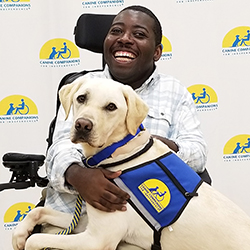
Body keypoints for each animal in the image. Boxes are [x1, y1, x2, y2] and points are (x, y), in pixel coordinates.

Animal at [12, 77, 250, 249]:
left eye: (111, 107)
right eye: (81, 98)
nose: (82, 125)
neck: (119, 151)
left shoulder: (97, 239)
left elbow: (36, 240)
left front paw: (26, 240)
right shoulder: (90, 221)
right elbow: (37, 212)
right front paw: (19, 235)